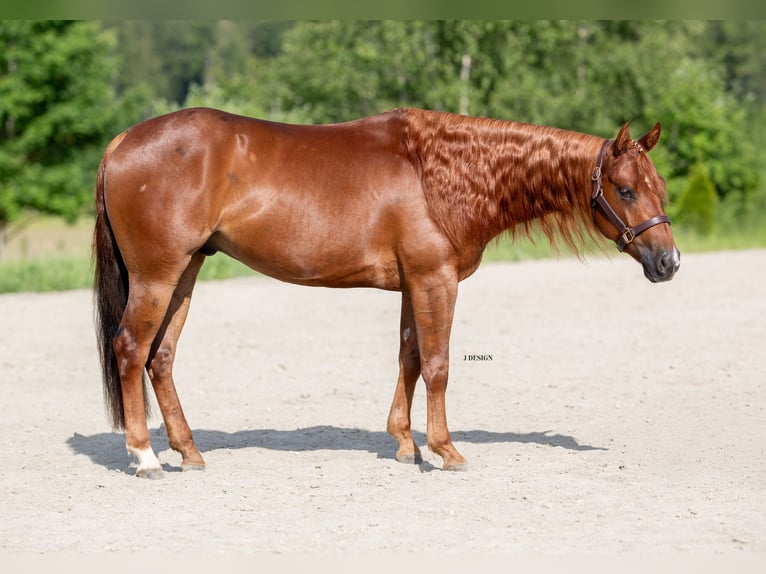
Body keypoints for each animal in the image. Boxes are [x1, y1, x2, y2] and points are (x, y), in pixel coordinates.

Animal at [93, 107, 680, 478]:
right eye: (625, 190)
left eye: (660, 188)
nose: (669, 263)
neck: (442, 173)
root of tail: (122, 141)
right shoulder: (434, 280)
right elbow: (439, 364)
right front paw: (445, 450)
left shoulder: (412, 284)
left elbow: (410, 358)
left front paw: (404, 444)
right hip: (157, 275)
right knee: (131, 349)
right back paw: (145, 458)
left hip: (186, 272)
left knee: (161, 357)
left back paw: (188, 453)